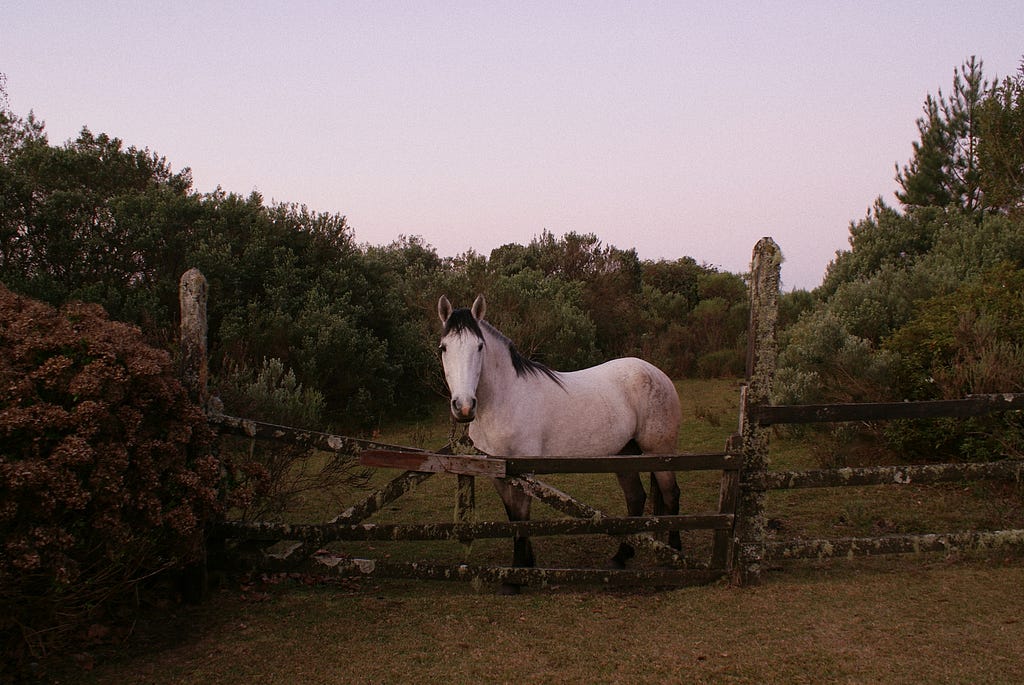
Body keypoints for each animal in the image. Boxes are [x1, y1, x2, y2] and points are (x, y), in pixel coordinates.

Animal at [438, 294, 684, 593]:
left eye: (480, 346)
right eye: (444, 348)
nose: (463, 407)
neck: (505, 399)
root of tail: (656, 373)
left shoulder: (524, 472)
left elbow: (521, 518)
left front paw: (515, 577)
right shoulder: (499, 473)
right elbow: (513, 517)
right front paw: (526, 565)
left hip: (659, 452)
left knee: (671, 496)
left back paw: (675, 556)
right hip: (624, 455)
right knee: (636, 498)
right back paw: (620, 557)